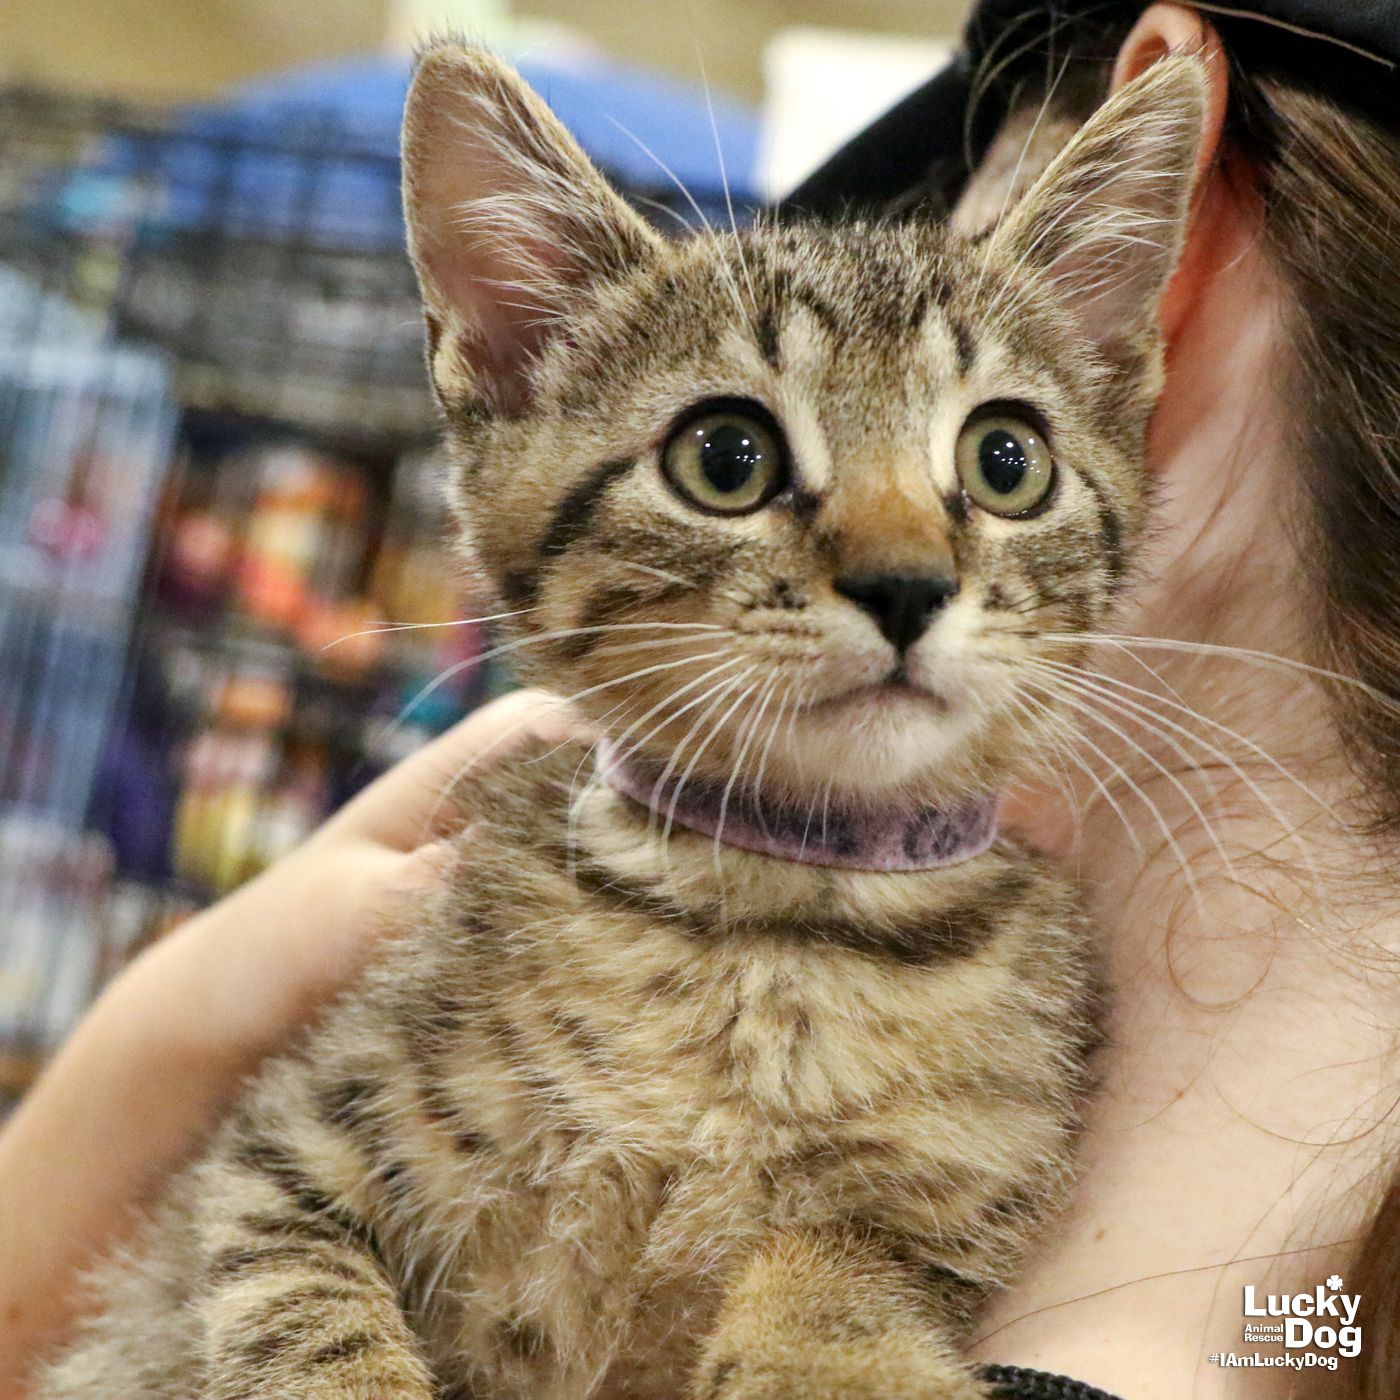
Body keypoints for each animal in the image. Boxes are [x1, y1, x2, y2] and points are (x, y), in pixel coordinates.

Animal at [38, 43, 1209, 1400]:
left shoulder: (950, 1196)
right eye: (725, 455)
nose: (907, 583)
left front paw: (826, 1352)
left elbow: (845, 1264)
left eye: (1005, 459)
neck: (772, 928)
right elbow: (301, 1320)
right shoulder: (276, 1158)